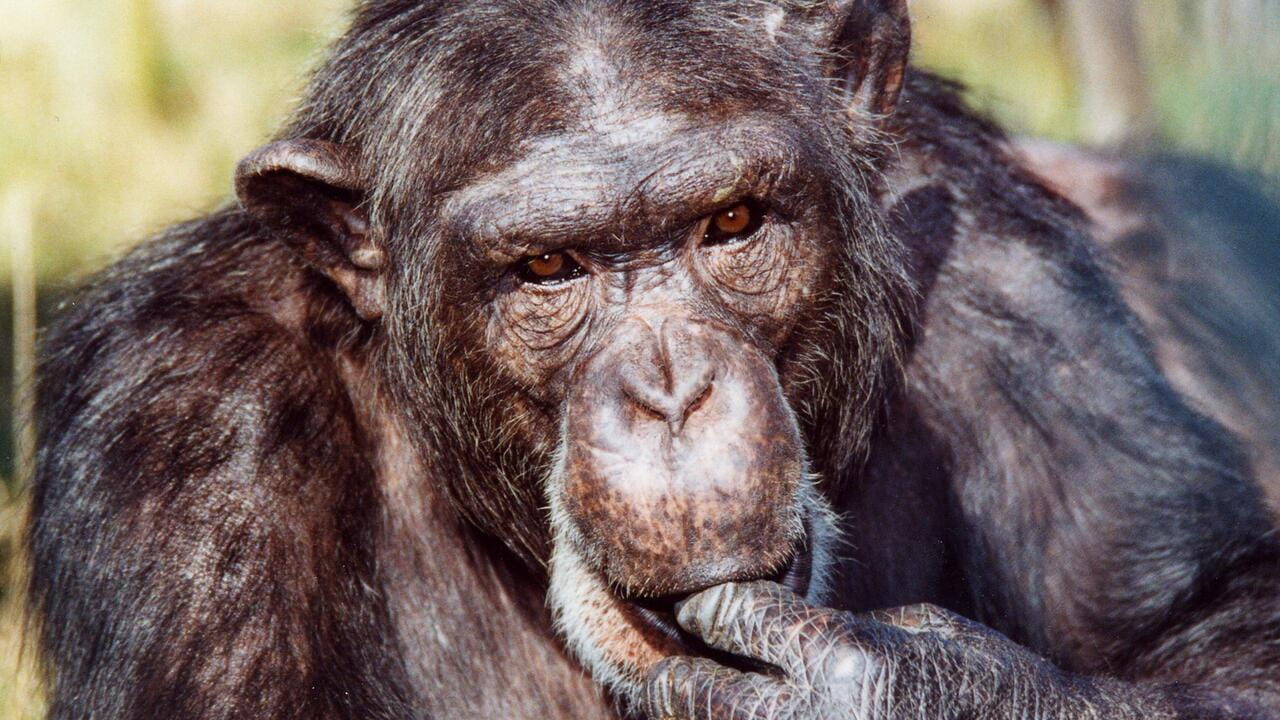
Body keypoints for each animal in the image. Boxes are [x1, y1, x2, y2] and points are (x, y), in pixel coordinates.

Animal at [27, 1, 1280, 719]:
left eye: (729, 224)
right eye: (548, 269)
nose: (671, 392)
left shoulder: (1002, 265)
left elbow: (1206, 632)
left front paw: (888, 693)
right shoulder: (181, 428)